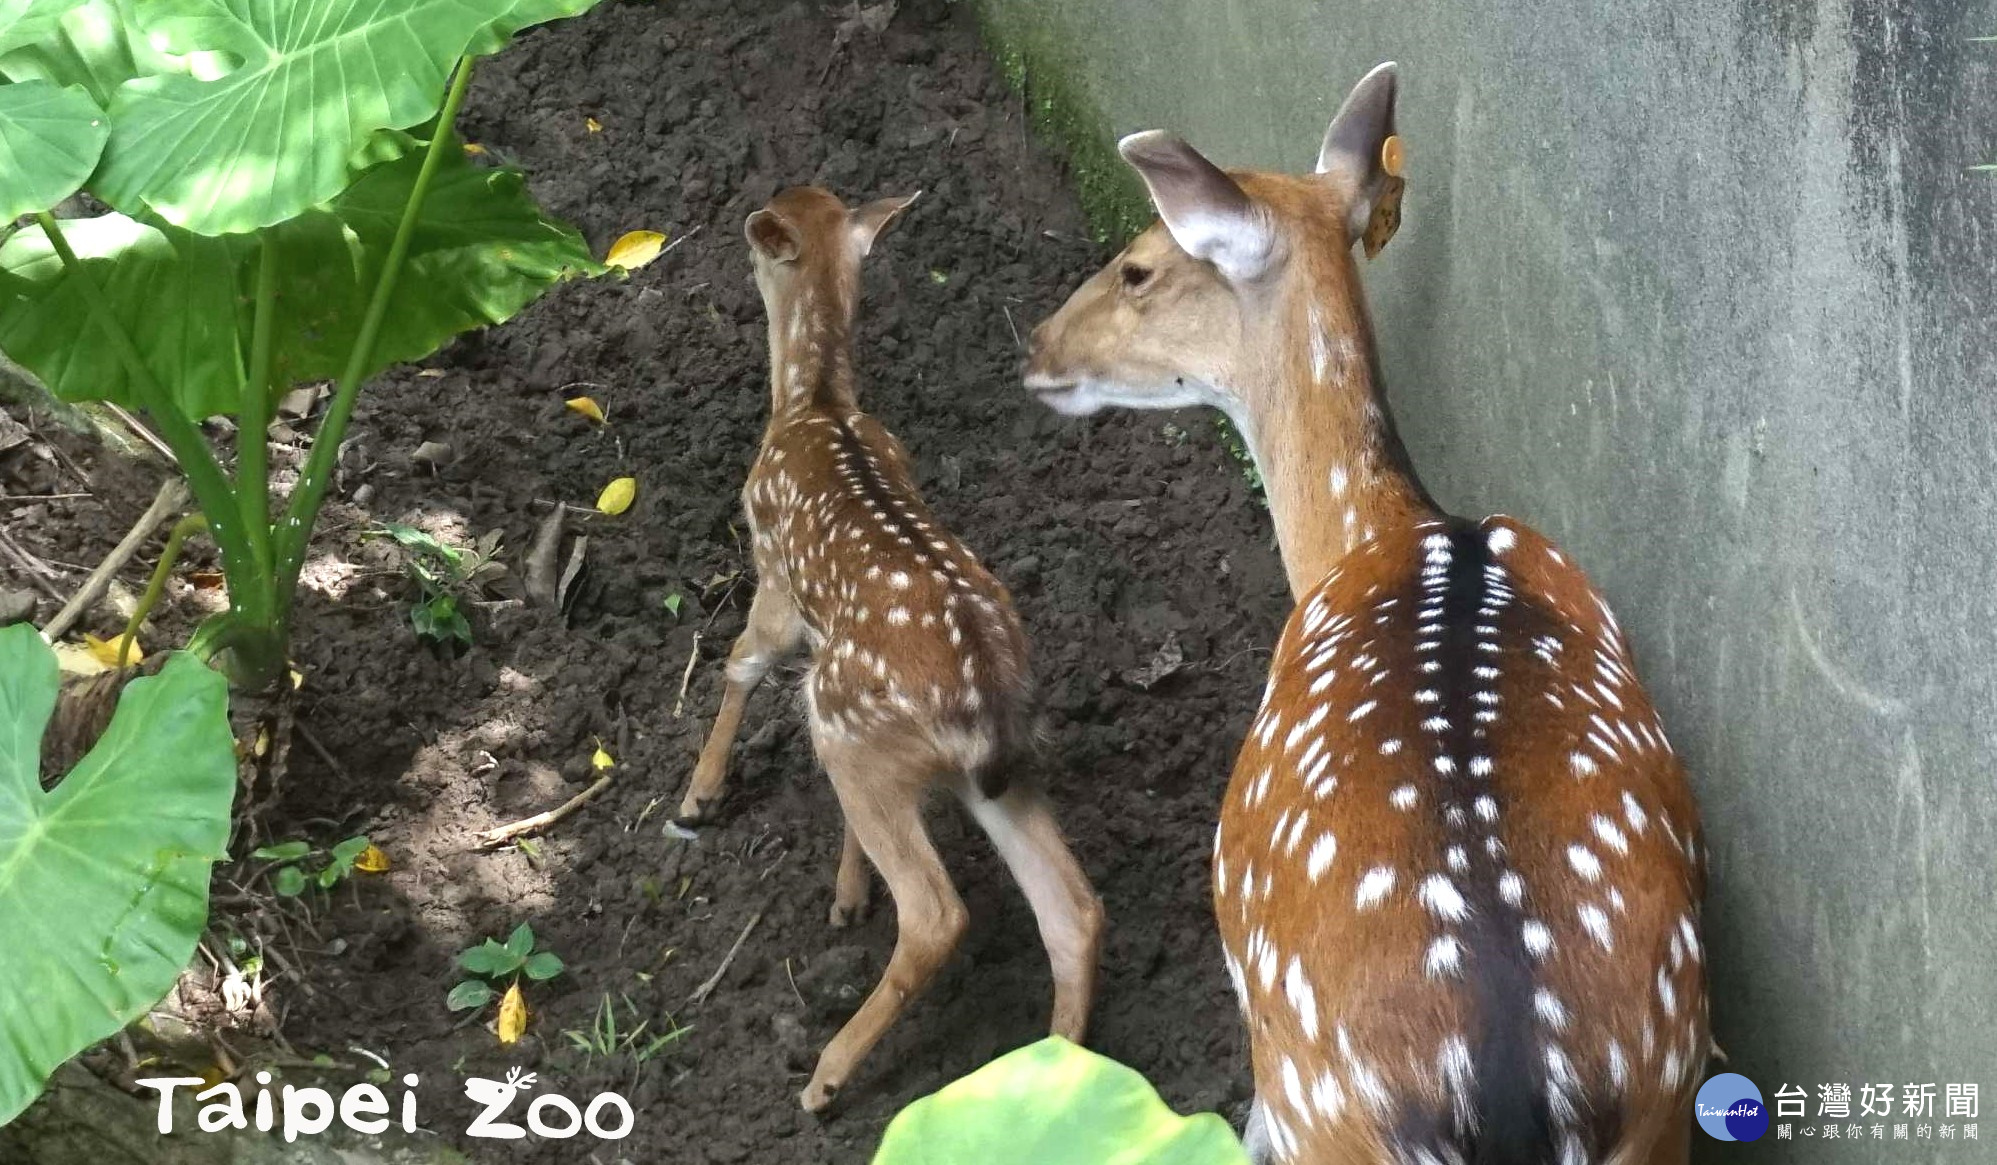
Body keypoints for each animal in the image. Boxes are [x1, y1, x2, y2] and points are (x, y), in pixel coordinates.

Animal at [678, 186, 1102, 1119]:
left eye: (759, 235)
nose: (739, 231)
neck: (813, 401)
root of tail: (987, 699)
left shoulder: (774, 571)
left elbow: (739, 660)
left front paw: (698, 794)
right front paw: (846, 892)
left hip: (851, 728)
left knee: (939, 914)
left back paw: (825, 1076)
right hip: (998, 772)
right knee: (1074, 908)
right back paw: (1055, 1075)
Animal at [1030, 65, 1701, 1165]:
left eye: (1136, 267)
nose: (1034, 348)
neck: (1373, 533)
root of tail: (1516, 1089)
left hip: (1321, 1093)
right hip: (1662, 1101)